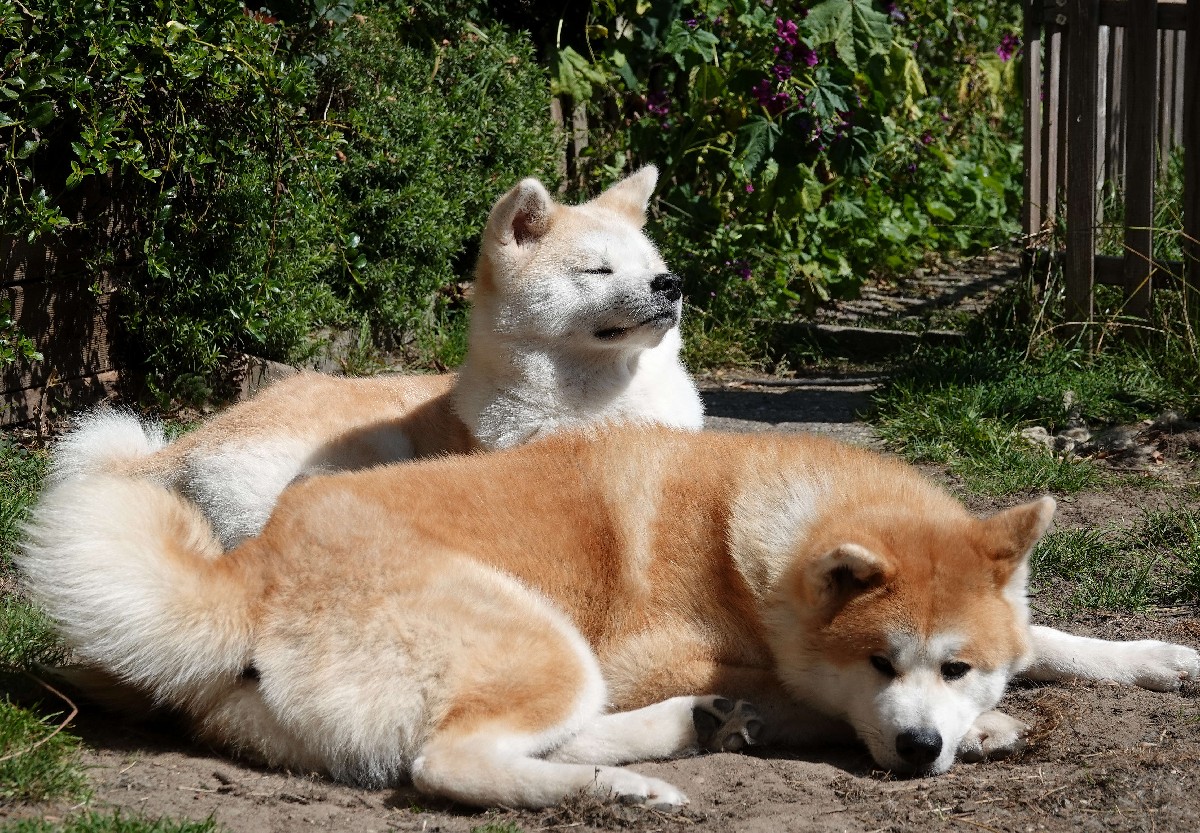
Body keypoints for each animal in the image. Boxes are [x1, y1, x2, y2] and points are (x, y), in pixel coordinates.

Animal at [20, 427, 1199, 809]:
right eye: (880, 661)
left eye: (954, 662)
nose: (918, 749)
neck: (753, 545)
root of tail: (247, 568)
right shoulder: (658, 651)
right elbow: (807, 699)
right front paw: (991, 727)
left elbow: (1050, 639)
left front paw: (1156, 656)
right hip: (550, 639)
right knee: (452, 761)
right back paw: (628, 788)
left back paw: (681, 736)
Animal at [54, 166, 703, 549]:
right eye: (598, 271)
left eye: (652, 265)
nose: (670, 284)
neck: (606, 402)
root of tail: (184, 447)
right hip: (369, 445)